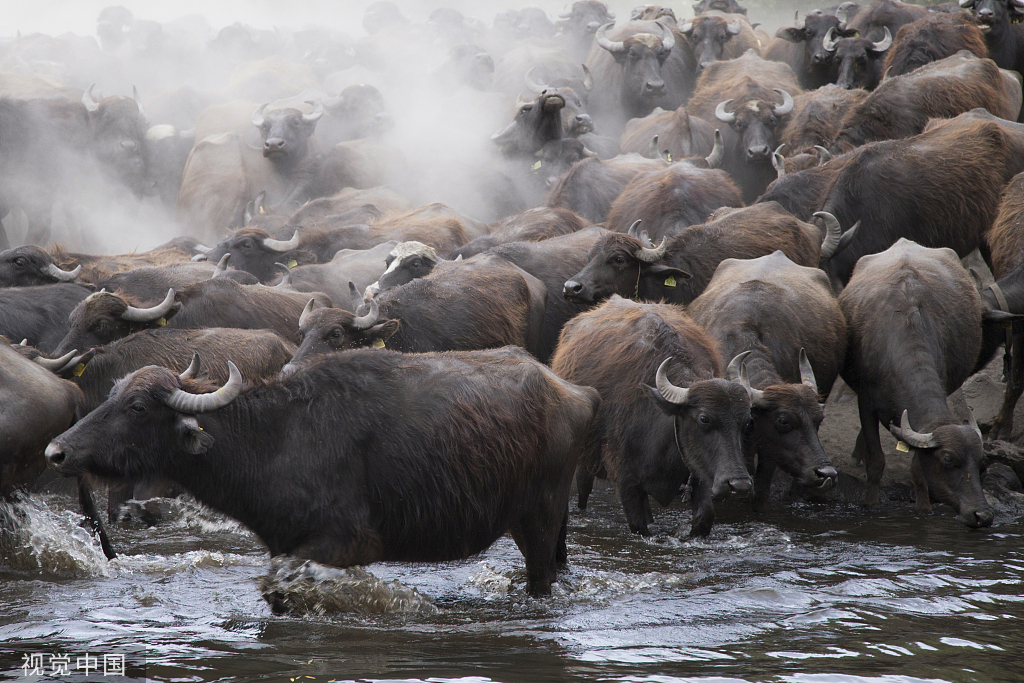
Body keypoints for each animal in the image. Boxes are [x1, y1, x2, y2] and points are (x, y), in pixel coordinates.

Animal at [49, 348, 598, 598]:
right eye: (113, 394)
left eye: (138, 407)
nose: (57, 451)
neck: (275, 438)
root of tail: (574, 391)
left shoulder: (348, 542)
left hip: (539, 520)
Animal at [552, 296, 753, 536]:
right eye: (704, 418)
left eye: (746, 422)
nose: (739, 485)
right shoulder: (628, 483)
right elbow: (640, 525)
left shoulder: (701, 473)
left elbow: (704, 519)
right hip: (585, 458)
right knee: (583, 487)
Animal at [839, 240, 991, 528]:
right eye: (948, 459)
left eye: (981, 463)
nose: (982, 515)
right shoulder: (866, 402)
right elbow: (876, 461)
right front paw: (870, 503)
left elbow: (918, 468)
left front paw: (923, 507)